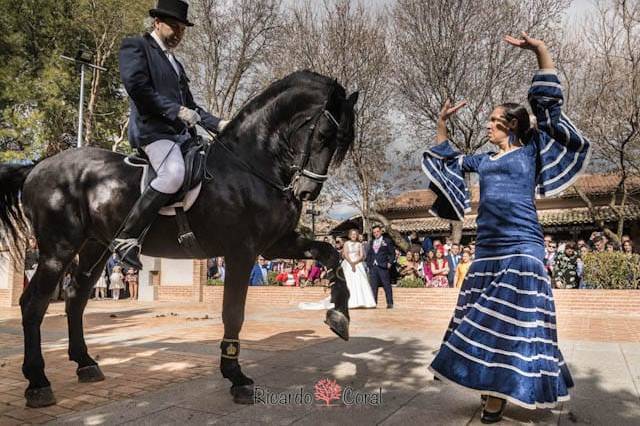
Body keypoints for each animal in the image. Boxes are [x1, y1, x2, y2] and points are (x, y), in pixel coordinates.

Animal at [0, 71, 358, 408]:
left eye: (342, 142)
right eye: (324, 135)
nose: (307, 192)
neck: (250, 165)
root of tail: (36, 168)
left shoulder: (274, 245)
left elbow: (332, 255)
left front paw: (339, 316)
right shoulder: (241, 252)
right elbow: (233, 313)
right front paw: (236, 376)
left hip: (95, 247)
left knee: (75, 298)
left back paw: (85, 363)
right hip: (58, 250)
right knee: (33, 304)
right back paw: (38, 382)